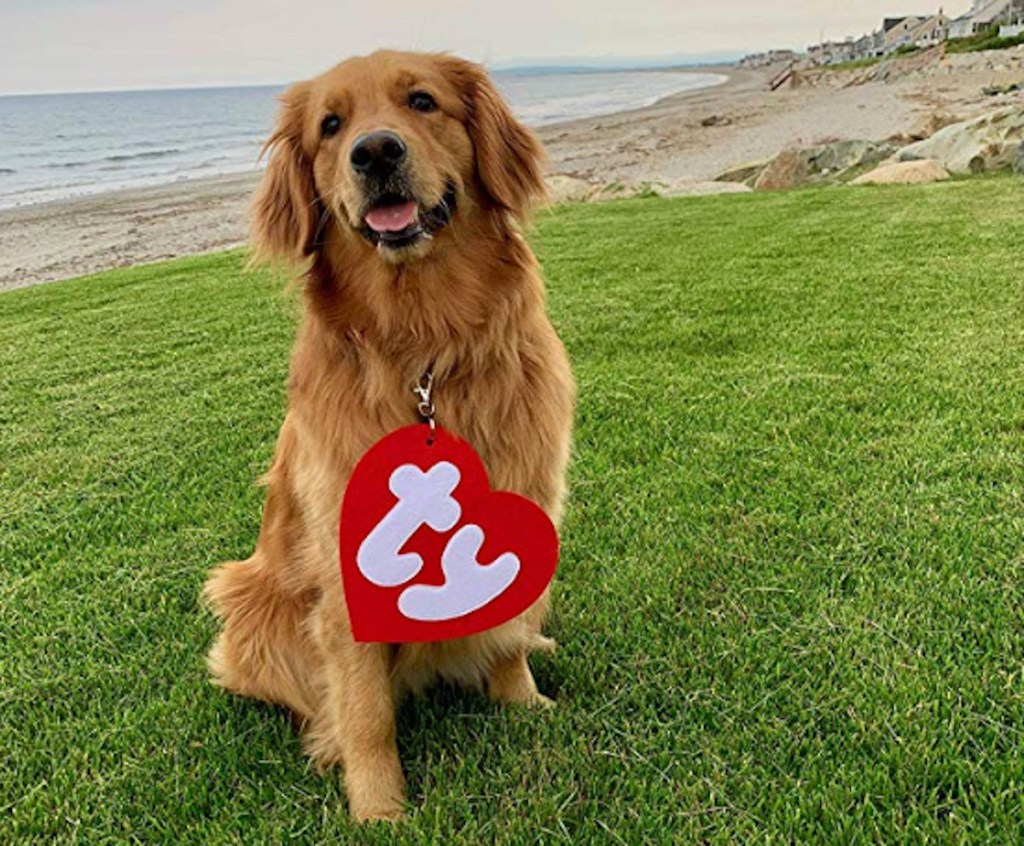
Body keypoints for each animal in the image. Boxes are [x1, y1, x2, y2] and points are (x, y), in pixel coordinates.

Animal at [203, 51, 577, 819]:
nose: (374, 151)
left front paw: (524, 706)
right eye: (330, 125)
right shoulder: (345, 575)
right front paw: (380, 809)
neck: (424, 348)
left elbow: (507, 637)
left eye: (422, 101)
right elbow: (366, 709)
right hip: (246, 597)